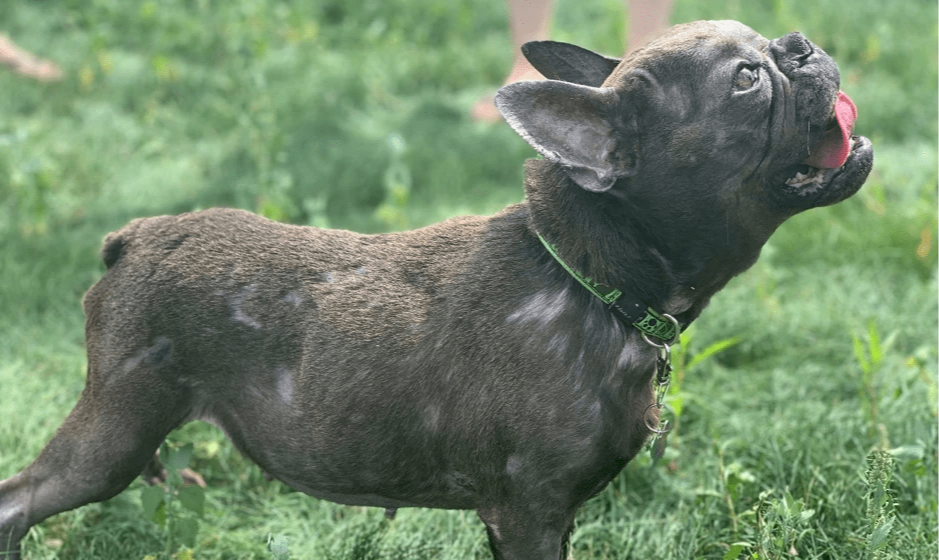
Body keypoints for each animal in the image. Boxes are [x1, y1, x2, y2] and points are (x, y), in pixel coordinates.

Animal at [0, 20, 872, 560]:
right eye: (746, 80)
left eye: (763, 51)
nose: (798, 45)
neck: (584, 276)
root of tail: (138, 236)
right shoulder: (527, 514)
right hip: (113, 437)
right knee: (19, 499)